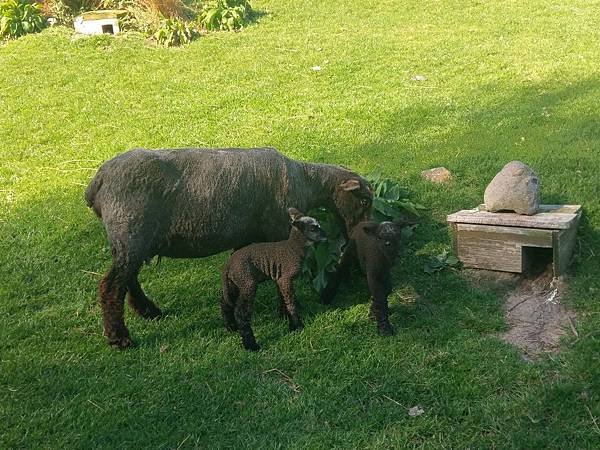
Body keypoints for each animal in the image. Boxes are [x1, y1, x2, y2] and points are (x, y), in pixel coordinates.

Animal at [220, 207, 326, 352]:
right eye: (313, 229)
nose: (325, 235)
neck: (294, 248)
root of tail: (228, 264)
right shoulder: (285, 278)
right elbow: (290, 303)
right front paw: (297, 326)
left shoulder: (280, 279)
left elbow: (283, 299)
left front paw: (286, 319)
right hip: (247, 282)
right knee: (241, 313)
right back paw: (251, 345)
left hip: (234, 283)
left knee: (225, 302)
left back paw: (231, 327)